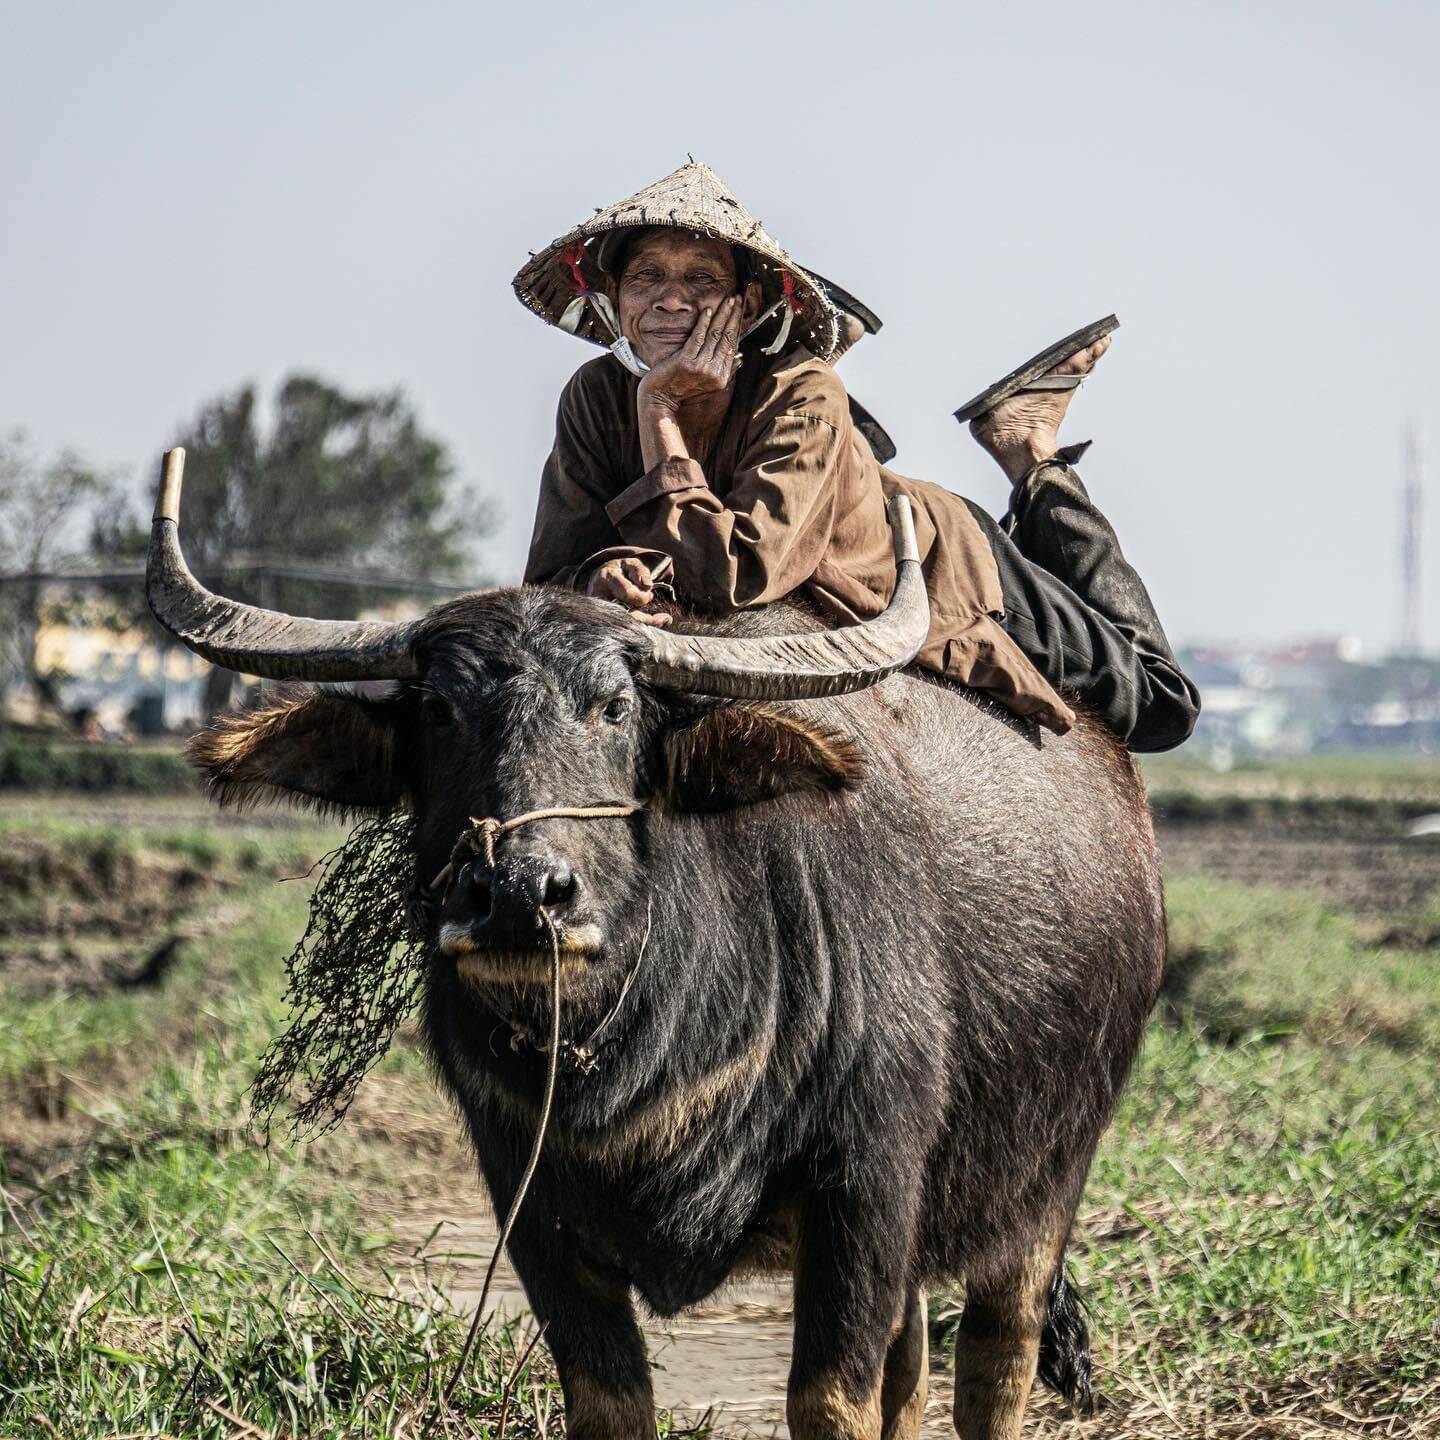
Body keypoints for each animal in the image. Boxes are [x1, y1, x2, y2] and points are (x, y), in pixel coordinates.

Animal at [146, 443, 1163, 1434]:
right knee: (910, 1373)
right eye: (438, 711)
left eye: (616, 708)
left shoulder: (867, 1187)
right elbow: (610, 1399)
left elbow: (831, 1399)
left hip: (1047, 1181)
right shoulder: (530, 1202)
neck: (658, 1044)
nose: (519, 895)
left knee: (996, 1359)